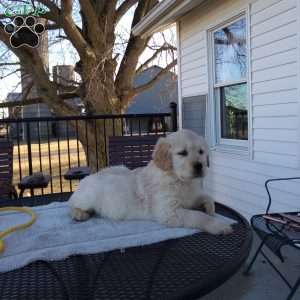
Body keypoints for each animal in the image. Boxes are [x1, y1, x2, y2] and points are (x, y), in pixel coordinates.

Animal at [68, 129, 232, 234]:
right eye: (182, 153)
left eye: (201, 152)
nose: (199, 166)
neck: (179, 180)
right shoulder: (169, 211)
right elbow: (198, 216)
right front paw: (219, 225)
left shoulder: (192, 195)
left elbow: (207, 197)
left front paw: (208, 207)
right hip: (90, 195)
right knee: (71, 204)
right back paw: (80, 214)